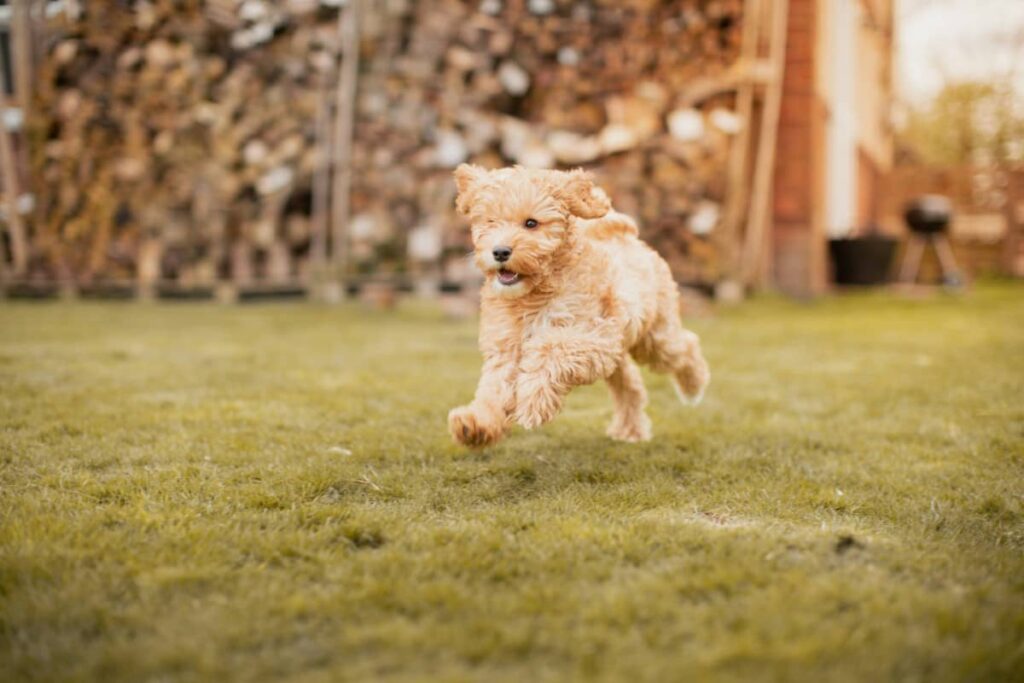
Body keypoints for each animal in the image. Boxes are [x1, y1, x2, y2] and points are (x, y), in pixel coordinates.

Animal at [452, 162, 708, 446]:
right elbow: (494, 390)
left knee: (685, 345)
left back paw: (693, 387)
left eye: (531, 223)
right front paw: (475, 423)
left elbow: (551, 348)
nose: (499, 251)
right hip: (620, 349)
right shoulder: (505, 349)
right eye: (490, 222)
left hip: (654, 337)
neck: (534, 295)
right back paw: (630, 430)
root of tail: (625, 234)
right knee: (630, 386)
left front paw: (533, 402)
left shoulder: (595, 336)